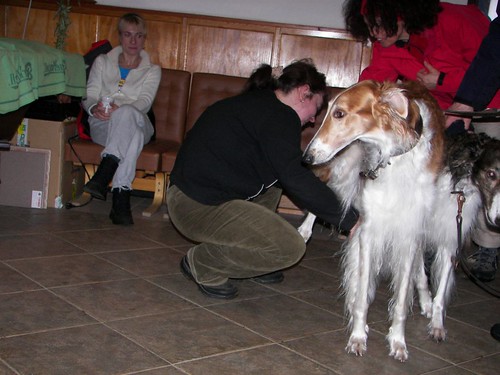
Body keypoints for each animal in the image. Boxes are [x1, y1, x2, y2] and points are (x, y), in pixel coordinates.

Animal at [298, 81, 498, 362]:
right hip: (345, 165)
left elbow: (404, 297)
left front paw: (398, 341)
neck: (396, 156)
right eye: (327, 112)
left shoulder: (413, 231)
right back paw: (305, 230)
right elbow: (362, 294)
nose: (307, 157)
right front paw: (357, 337)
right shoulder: (370, 227)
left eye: (339, 114)